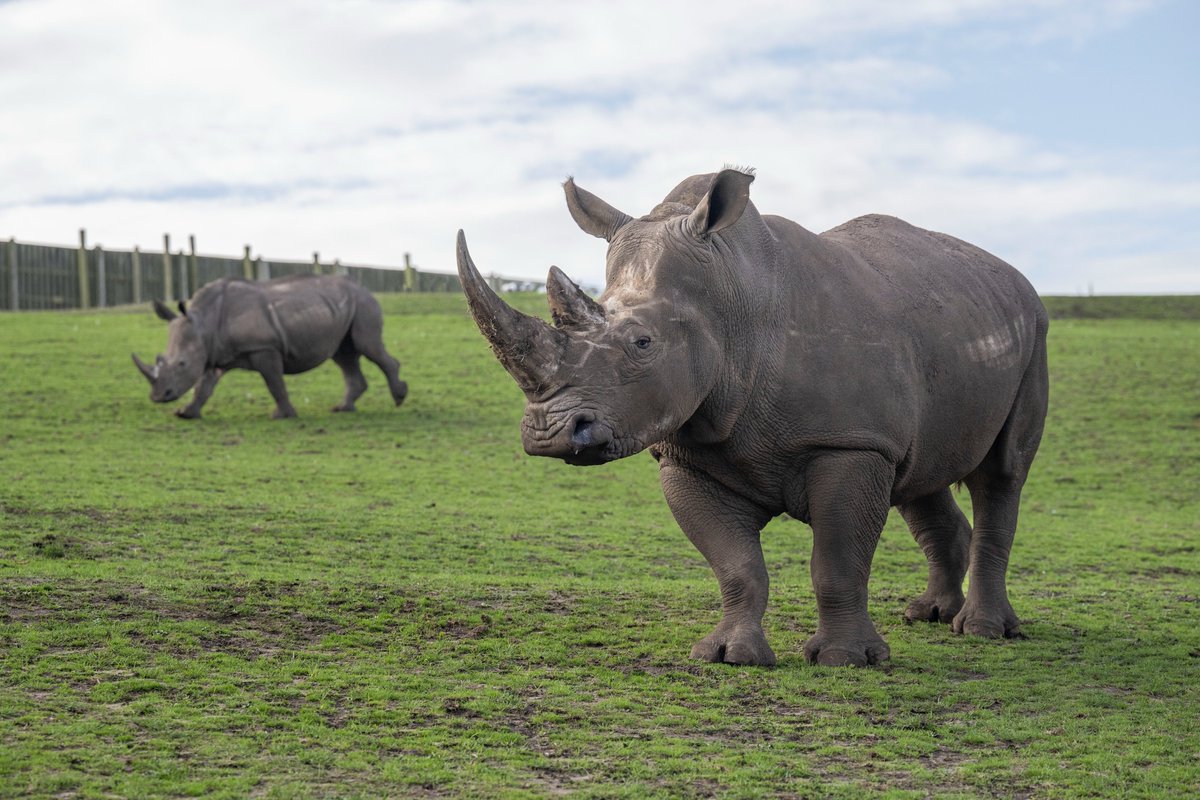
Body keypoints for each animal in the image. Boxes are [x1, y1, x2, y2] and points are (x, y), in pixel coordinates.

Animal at [132, 274, 407, 419]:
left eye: (182, 364)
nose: (158, 397)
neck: (204, 321)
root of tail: (363, 287)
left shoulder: (264, 348)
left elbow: (275, 383)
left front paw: (283, 415)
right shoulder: (213, 353)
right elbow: (203, 387)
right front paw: (186, 413)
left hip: (363, 304)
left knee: (367, 346)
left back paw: (399, 398)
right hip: (343, 308)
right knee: (343, 355)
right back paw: (342, 409)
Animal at [456, 167, 1049, 667]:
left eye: (643, 343)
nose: (548, 434)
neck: (730, 304)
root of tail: (1012, 275)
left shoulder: (849, 443)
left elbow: (837, 562)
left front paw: (845, 661)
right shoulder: (690, 455)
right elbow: (737, 567)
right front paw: (728, 656)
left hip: (1033, 331)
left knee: (1001, 474)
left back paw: (983, 630)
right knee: (921, 473)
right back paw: (929, 615)